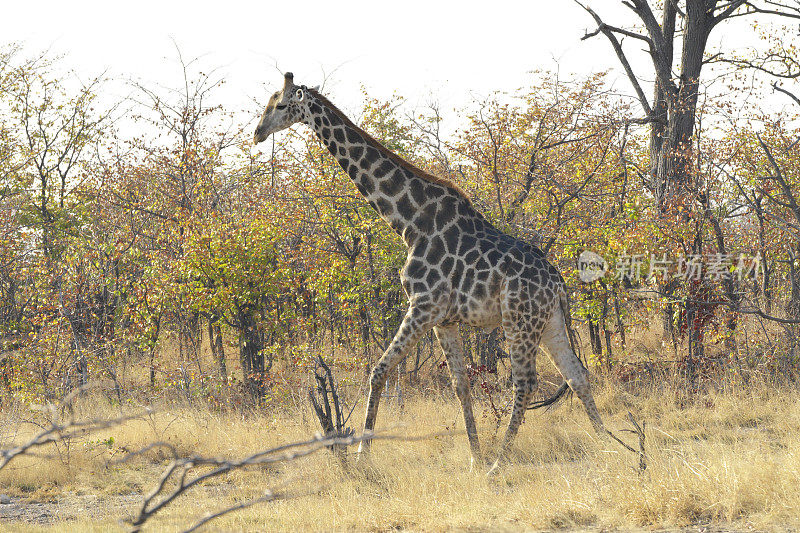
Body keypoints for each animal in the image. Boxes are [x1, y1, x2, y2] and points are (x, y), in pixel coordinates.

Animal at [253, 72, 608, 468]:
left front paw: (362, 456)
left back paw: (500, 463)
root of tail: (558, 281)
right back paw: (609, 446)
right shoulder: (444, 320)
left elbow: (378, 371)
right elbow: (460, 385)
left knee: (526, 382)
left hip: (520, 320)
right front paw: (474, 457)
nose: (257, 133)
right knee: (576, 375)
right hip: (549, 323)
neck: (409, 222)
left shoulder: (422, 306)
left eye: (280, 104)